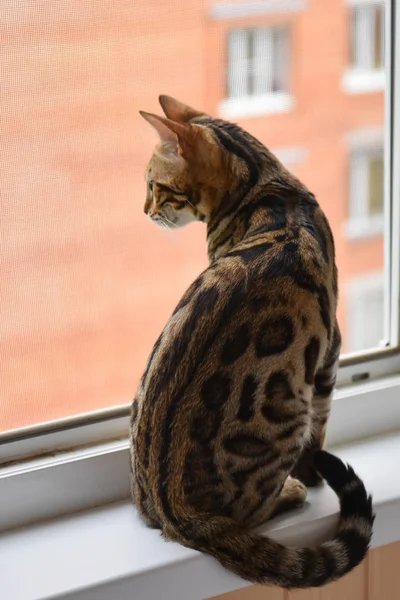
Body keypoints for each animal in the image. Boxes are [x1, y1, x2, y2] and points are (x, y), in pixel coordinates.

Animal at [130, 96, 374, 588]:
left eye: (155, 185)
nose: (144, 210)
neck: (264, 183)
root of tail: (171, 509)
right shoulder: (331, 345)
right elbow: (321, 424)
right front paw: (312, 472)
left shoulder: (331, 344)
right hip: (287, 413)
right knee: (254, 511)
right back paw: (292, 491)